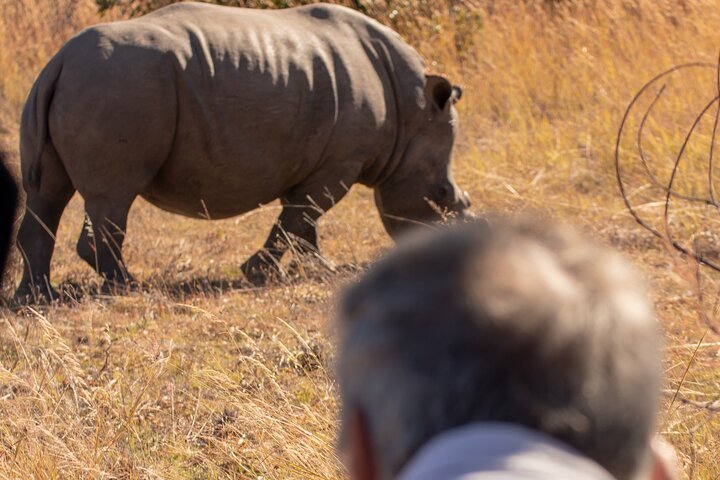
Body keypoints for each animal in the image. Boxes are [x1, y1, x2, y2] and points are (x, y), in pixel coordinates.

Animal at [14, 2, 469, 301]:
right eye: (444, 196)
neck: (412, 111)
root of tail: (59, 60)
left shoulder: (315, 159)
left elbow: (303, 221)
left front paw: (320, 270)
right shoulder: (341, 161)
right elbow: (300, 218)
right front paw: (260, 274)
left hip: (79, 86)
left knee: (47, 194)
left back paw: (37, 298)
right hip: (117, 85)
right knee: (112, 198)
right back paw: (128, 288)